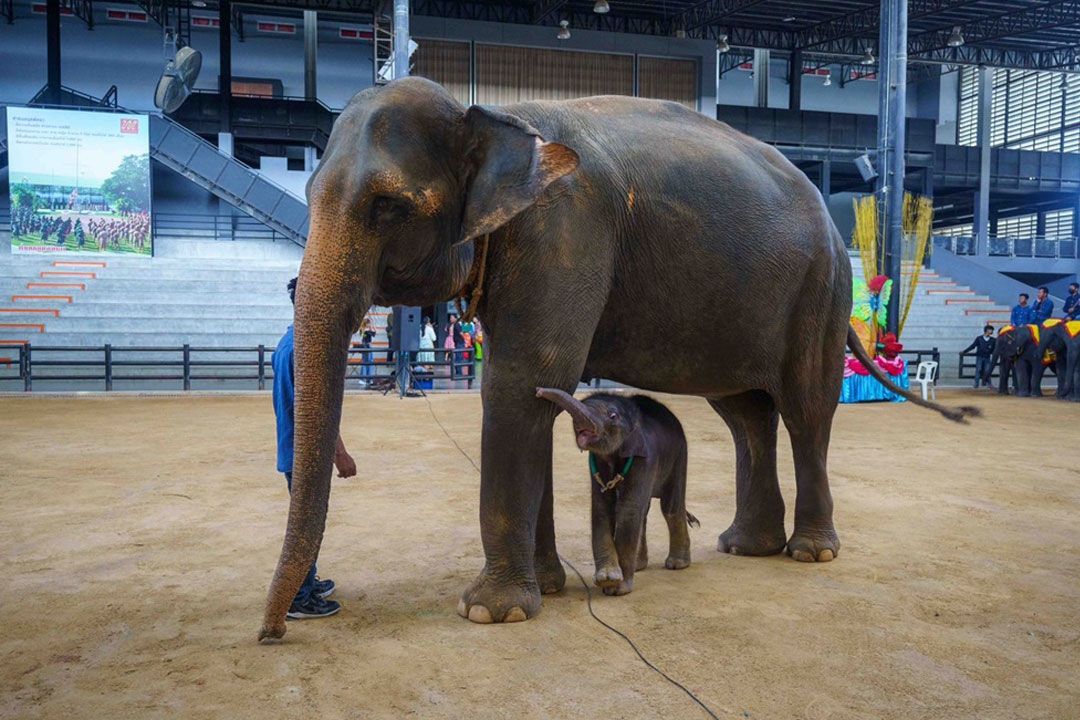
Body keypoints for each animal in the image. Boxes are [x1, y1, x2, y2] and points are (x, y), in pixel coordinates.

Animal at [533, 388, 699, 595]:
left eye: (612, 416)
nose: (538, 391)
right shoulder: (596, 463)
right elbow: (602, 507)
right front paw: (607, 578)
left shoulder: (644, 459)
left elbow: (628, 510)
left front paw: (617, 588)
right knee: (644, 511)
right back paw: (639, 566)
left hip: (679, 456)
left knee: (669, 507)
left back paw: (677, 564)